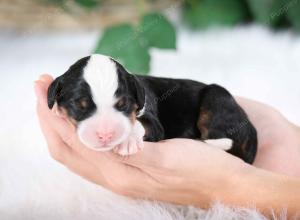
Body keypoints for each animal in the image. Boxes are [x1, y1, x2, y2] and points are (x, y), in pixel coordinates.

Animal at [48, 53, 256, 163]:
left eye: (123, 105)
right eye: (79, 105)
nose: (106, 135)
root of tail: (251, 127)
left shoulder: (153, 121)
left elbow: (141, 124)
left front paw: (128, 141)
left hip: (216, 99)